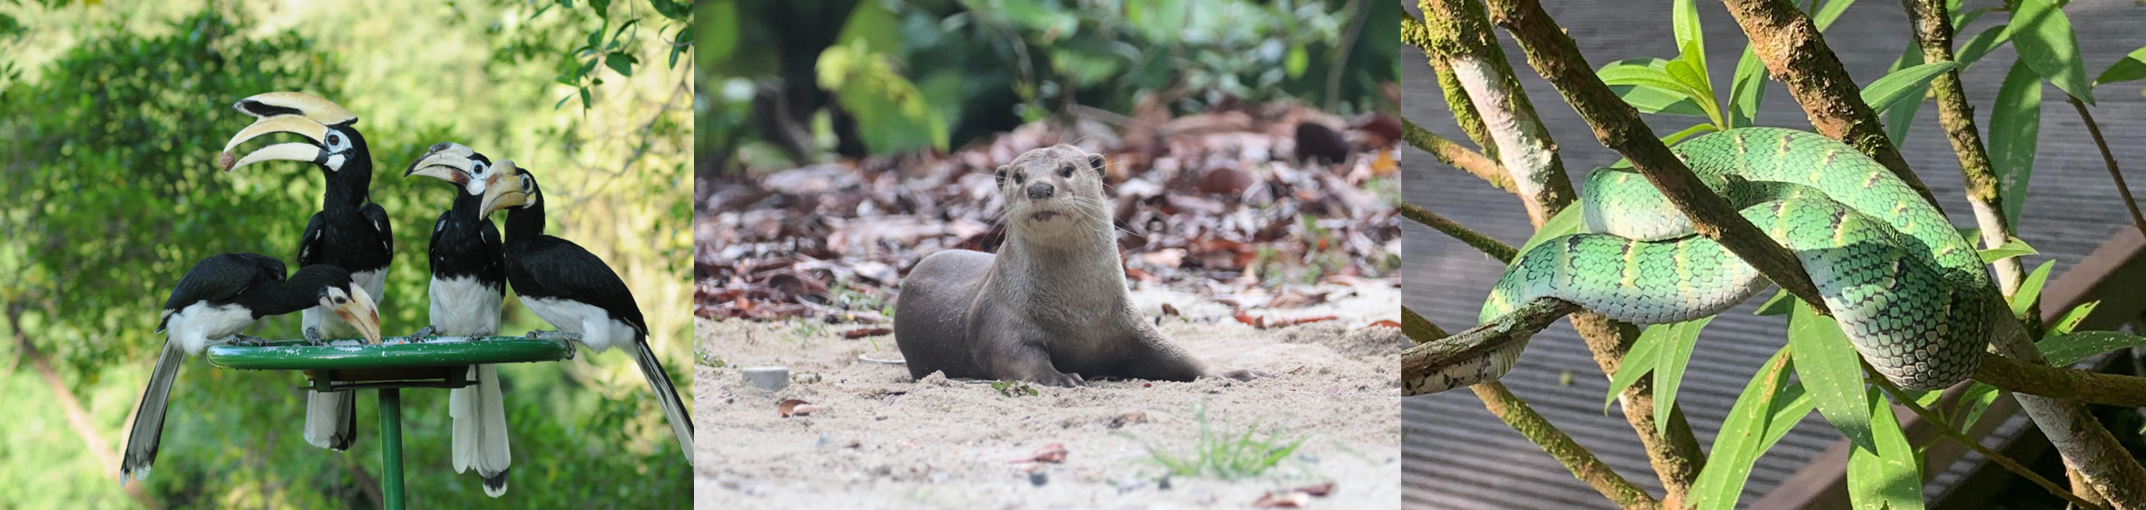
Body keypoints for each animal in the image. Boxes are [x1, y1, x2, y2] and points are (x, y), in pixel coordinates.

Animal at [893, 145, 1211, 386]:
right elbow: (1017, 357)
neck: (1080, 312)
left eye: (1067, 170)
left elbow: (1175, 354)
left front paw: (1219, 372)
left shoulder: (1130, 322)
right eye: (1019, 177)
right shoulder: (1003, 320)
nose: (1039, 188)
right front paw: (1062, 377)